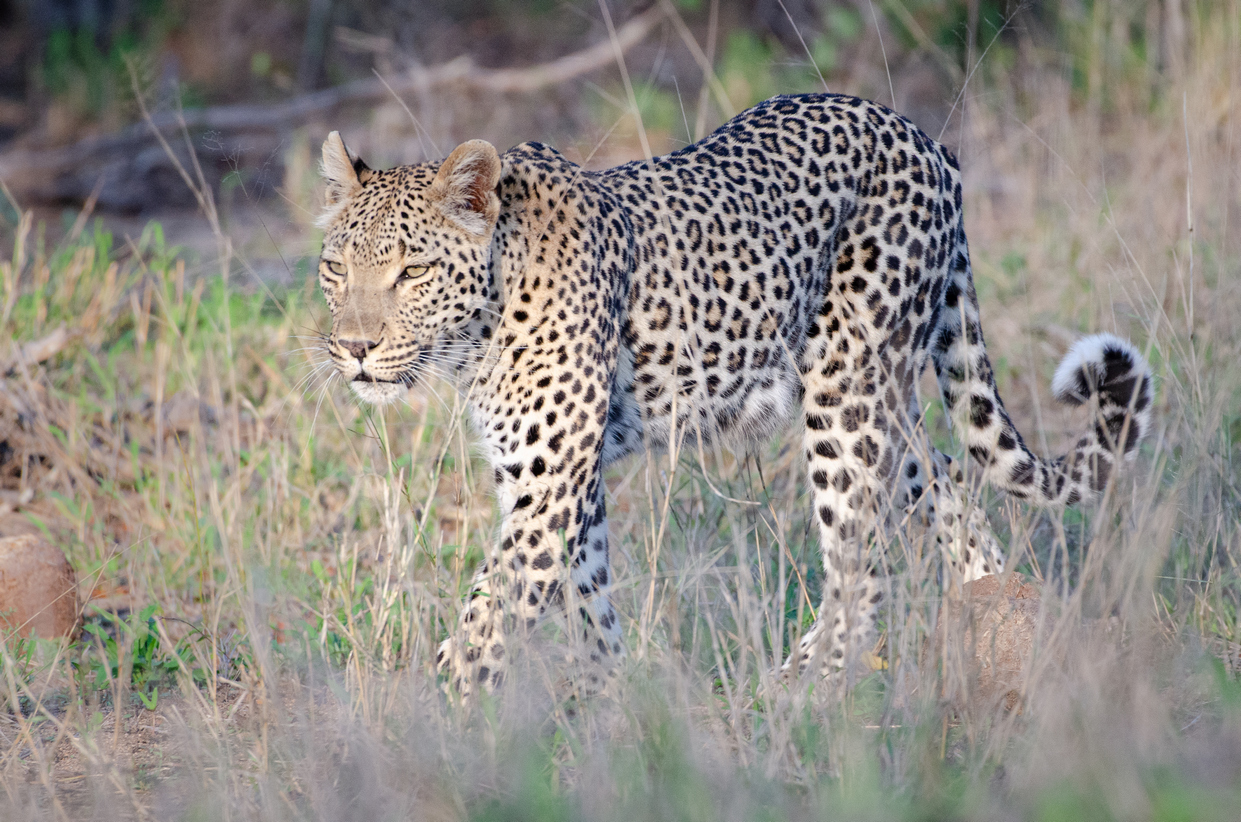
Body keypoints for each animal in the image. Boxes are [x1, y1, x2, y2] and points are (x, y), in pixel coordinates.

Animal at [312, 93, 1151, 700]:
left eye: (412, 271)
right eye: (335, 267)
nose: (353, 347)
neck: (482, 325)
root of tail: (922, 138)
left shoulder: (549, 483)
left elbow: (487, 619)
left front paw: (434, 726)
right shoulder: (556, 478)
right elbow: (587, 597)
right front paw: (610, 709)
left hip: (845, 388)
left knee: (863, 566)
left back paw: (790, 695)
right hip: (887, 407)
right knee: (947, 486)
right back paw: (993, 623)